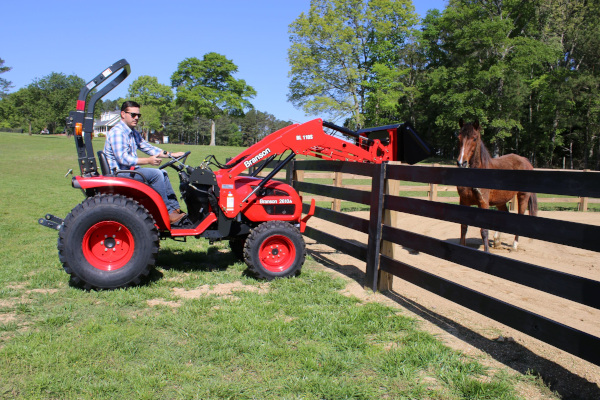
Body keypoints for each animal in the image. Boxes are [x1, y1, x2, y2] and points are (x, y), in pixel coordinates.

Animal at [458, 119, 536, 252]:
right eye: (459, 137)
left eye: (474, 138)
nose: (461, 163)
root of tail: (525, 160)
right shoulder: (464, 201)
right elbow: (463, 227)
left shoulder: (483, 203)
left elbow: (484, 231)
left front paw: (487, 251)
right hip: (501, 200)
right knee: (504, 213)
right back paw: (497, 241)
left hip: (523, 196)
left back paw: (514, 246)